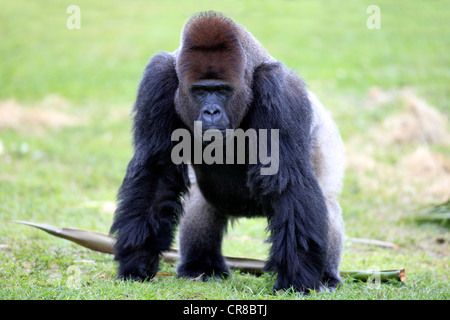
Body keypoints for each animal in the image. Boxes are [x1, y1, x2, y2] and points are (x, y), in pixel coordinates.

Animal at [110, 11, 344, 294]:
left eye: (221, 90)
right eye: (200, 90)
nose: (211, 112)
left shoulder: (280, 90)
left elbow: (287, 179)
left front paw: (296, 280)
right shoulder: (158, 78)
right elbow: (157, 170)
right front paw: (138, 259)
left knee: (328, 204)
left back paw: (327, 277)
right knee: (200, 202)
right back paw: (201, 267)